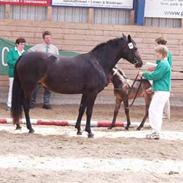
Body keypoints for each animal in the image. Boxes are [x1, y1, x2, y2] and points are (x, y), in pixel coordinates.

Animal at [11, 34, 143, 137]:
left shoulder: (85, 92)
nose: (140, 63)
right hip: (29, 87)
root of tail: (23, 56)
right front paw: (89, 132)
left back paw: (19, 125)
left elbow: (81, 109)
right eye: (135, 48)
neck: (98, 62)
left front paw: (79, 129)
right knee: (25, 106)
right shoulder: (92, 93)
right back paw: (30, 128)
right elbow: (89, 111)